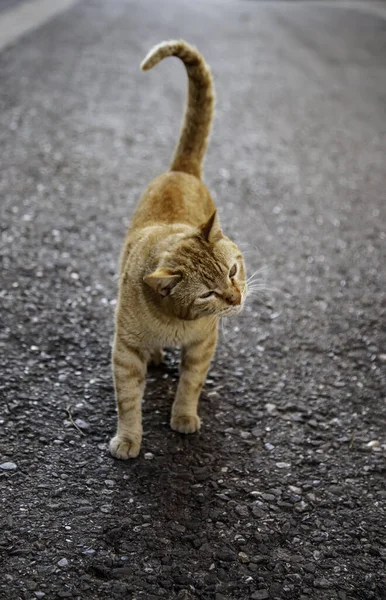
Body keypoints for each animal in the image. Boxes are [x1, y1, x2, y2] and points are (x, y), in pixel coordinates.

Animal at [109, 39, 247, 460]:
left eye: (232, 272)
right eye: (207, 293)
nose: (236, 298)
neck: (173, 321)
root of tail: (181, 169)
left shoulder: (202, 345)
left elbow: (190, 385)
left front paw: (183, 416)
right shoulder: (125, 351)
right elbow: (128, 400)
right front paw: (129, 438)